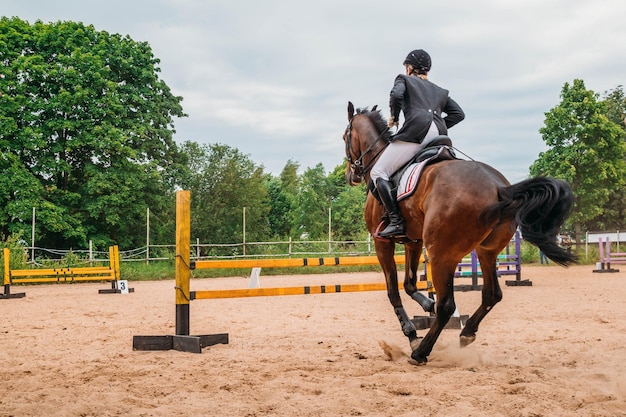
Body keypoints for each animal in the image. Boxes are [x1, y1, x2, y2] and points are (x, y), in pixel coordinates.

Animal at [342, 101, 576, 364]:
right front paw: (426, 305)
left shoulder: (382, 242)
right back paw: (466, 333)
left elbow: (394, 291)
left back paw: (421, 352)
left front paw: (411, 332)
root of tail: (500, 188)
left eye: (344, 137)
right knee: (491, 294)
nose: (350, 175)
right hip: (486, 251)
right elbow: (410, 284)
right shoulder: (413, 241)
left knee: (447, 305)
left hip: (441, 254)